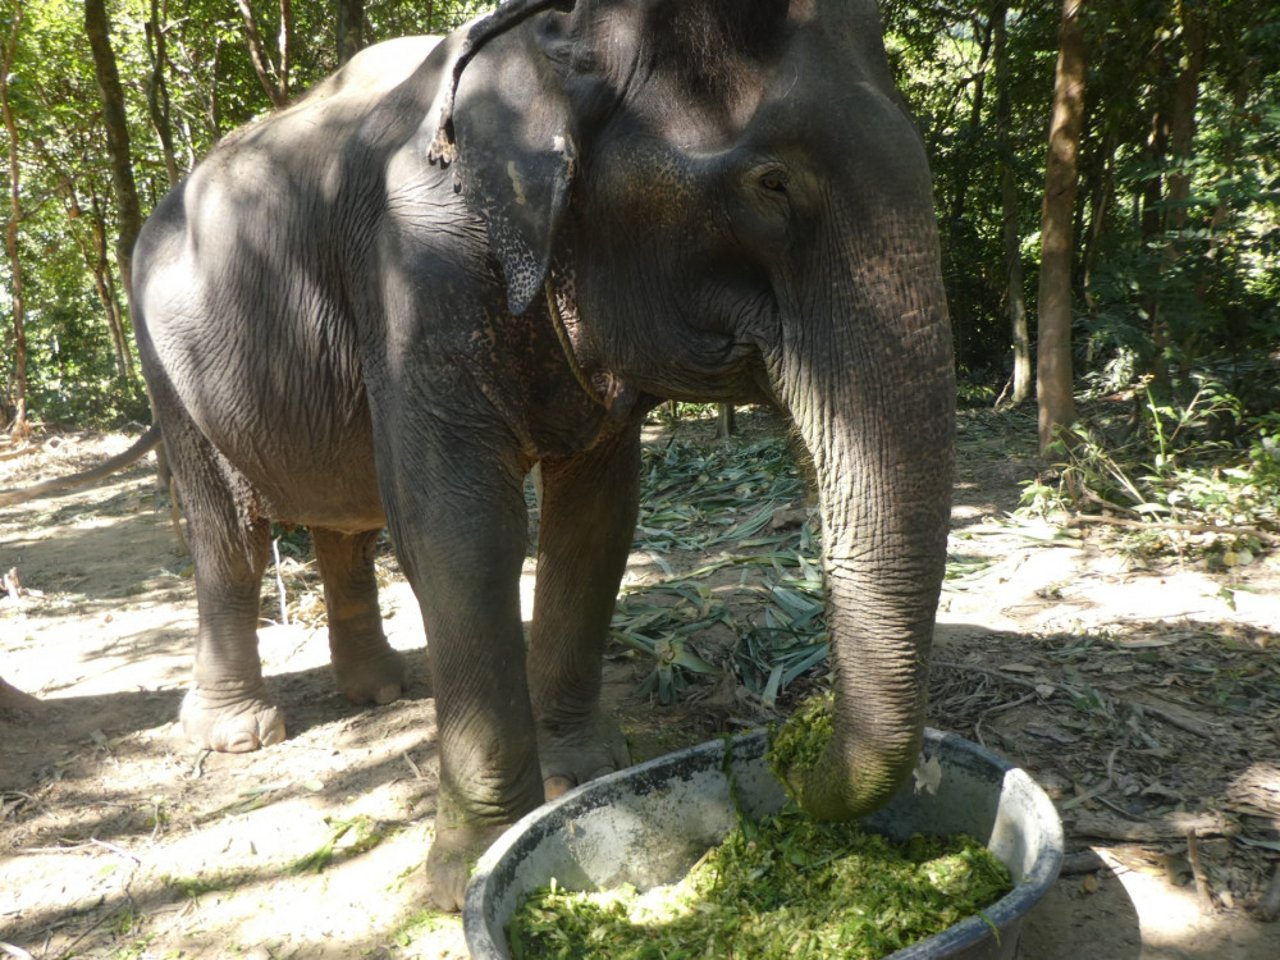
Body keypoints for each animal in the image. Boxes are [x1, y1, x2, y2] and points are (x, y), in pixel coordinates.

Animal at [130, 0, 955, 911]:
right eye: (772, 183)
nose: (790, 753)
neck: (554, 39)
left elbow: (597, 521)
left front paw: (586, 778)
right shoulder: (417, 273)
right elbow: (460, 530)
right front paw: (471, 875)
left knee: (347, 523)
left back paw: (382, 690)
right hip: (167, 372)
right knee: (230, 539)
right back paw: (239, 733)